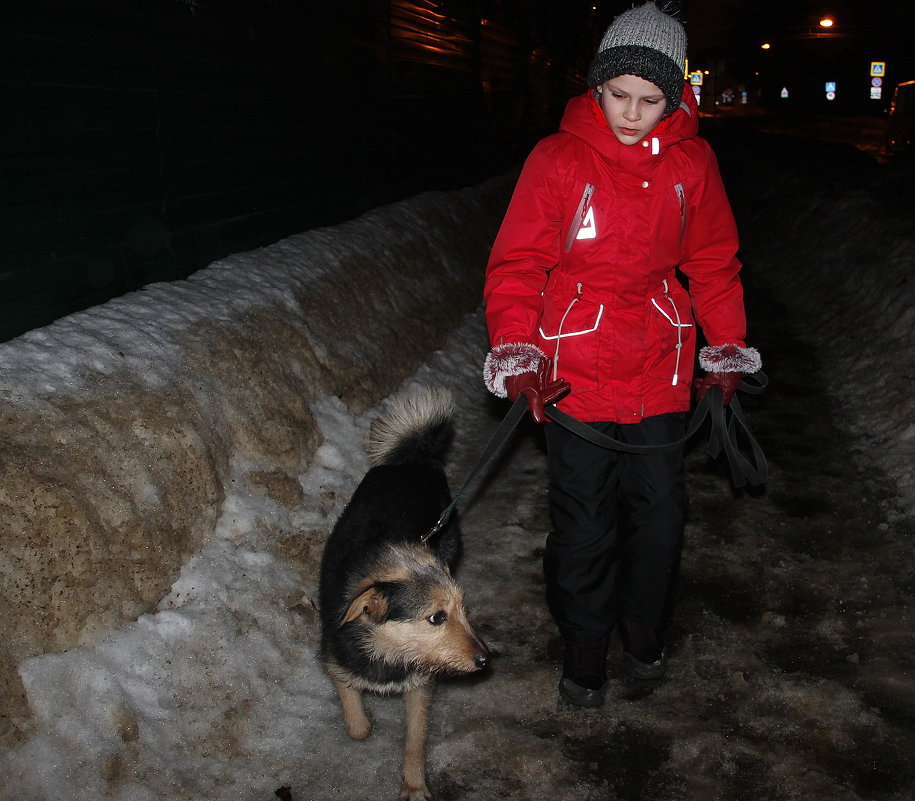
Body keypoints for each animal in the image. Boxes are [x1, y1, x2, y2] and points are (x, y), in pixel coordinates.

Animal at [318, 384, 490, 796]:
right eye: (437, 618)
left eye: (463, 610)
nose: (485, 660)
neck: (389, 651)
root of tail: (414, 457)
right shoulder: (334, 657)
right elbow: (356, 723)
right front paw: (362, 722)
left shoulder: (421, 686)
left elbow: (416, 738)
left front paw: (413, 785)